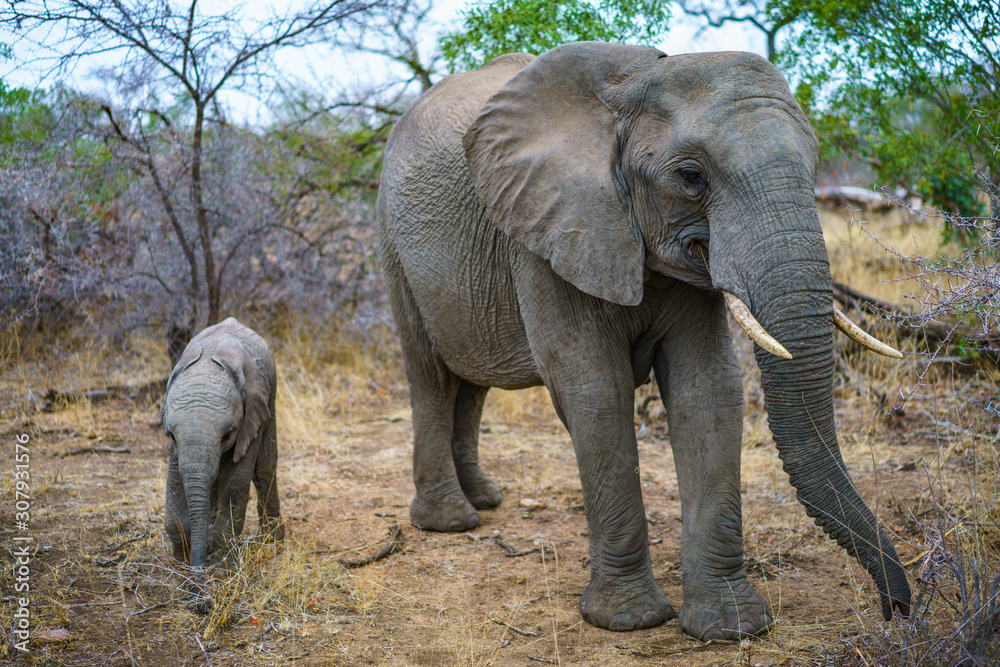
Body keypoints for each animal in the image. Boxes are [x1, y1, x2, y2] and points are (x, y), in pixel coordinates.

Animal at [160, 318, 286, 576]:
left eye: (228, 434)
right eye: (171, 435)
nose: (197, 574)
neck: (206, 366)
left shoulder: (250, 416)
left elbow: (235, 480)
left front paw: (220, 568)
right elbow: (176, 480)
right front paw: (181, 561)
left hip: (271, 393)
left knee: (265, 466)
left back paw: (271, 538)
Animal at [378, 43, 912, 640]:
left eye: (814, 165)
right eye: (690, 176)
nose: (898, 610)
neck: (636, 83)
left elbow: (708, 390)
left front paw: (729, 626)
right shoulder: (548, 232)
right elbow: (596, 391)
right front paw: (628, 620)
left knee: (471, 384)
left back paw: (485, 500)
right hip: (393, 239)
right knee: (431, 375)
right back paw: (450, 522)